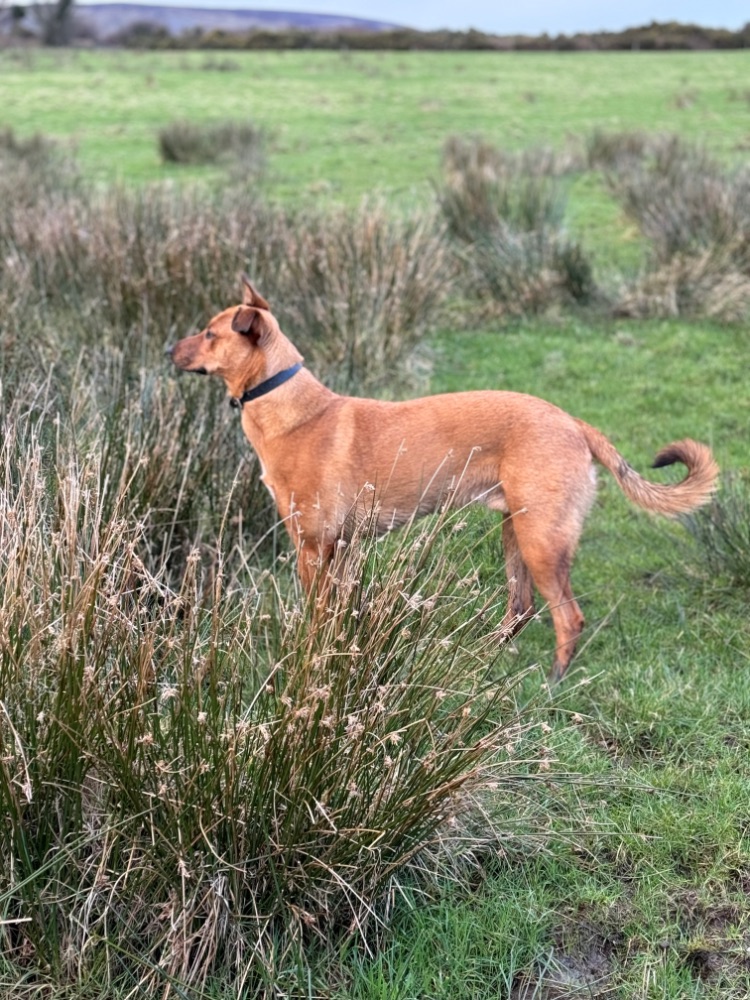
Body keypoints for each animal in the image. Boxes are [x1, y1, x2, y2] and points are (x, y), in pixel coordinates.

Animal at [167, 276, 719, 678]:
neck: (292, 406)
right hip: (515, 532)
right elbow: (338, 614)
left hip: (542, 540)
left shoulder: (313, 546)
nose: (171, 349)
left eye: (210, 334)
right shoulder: (342, 549)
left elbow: (316, 618)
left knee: (567, 617)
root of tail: (572, 422)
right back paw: (480, 655)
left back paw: (553, 682)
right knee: (521, 609)